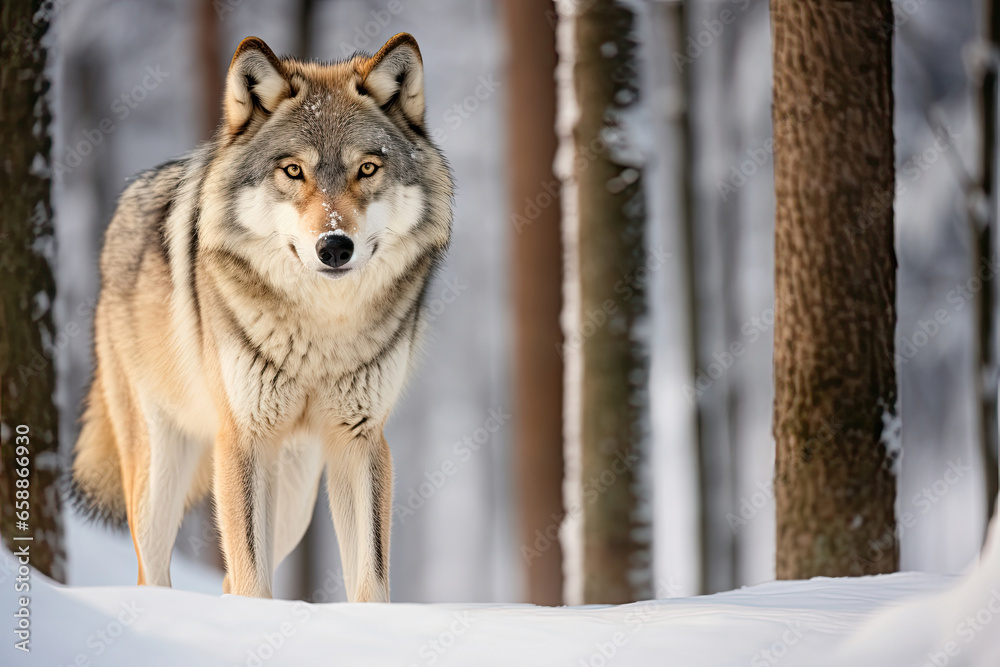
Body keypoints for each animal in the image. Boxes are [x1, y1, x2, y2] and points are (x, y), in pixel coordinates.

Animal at [68, 33, 452, 601]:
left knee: (230, 574)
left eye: (367, 168)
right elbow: (252, 575)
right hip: (162, 470)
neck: (320, 331)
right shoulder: (242, 436)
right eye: (293, 170)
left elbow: (370, 580)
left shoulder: (360, 440)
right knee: (154, 571)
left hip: (293, 495)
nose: (334, 247)